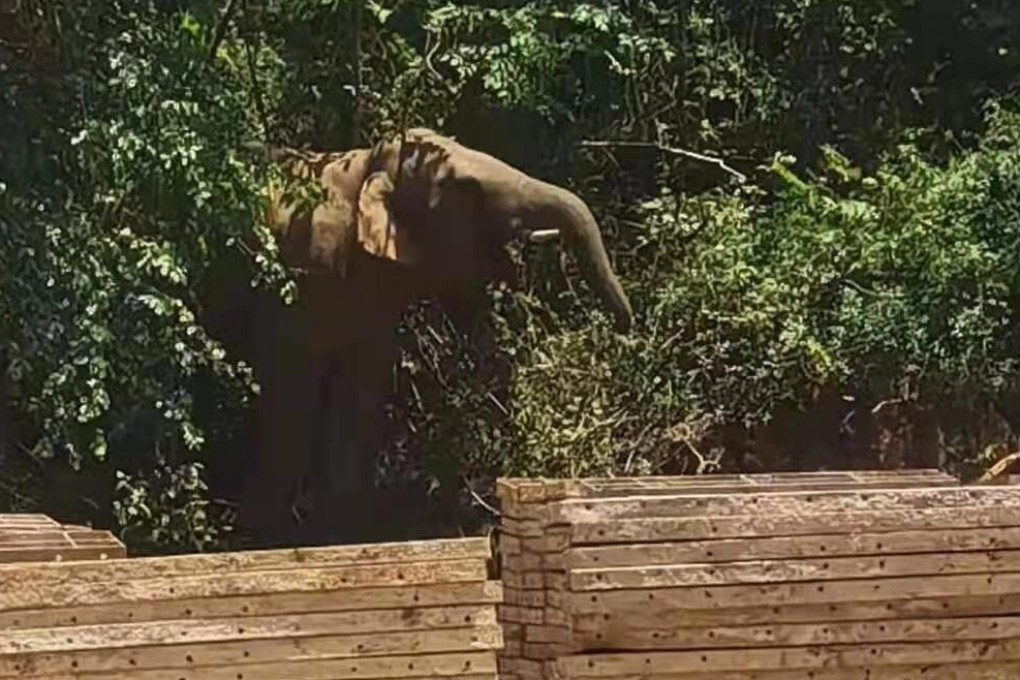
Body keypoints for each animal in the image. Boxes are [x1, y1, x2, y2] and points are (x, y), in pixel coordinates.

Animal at [224, 128, 633, 545]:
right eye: (467, 189)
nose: (626, 330)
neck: (365, 163)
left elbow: (359, 390)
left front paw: (344, 534)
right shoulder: (299, 275)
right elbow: (292, 384)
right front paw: (268, 537)